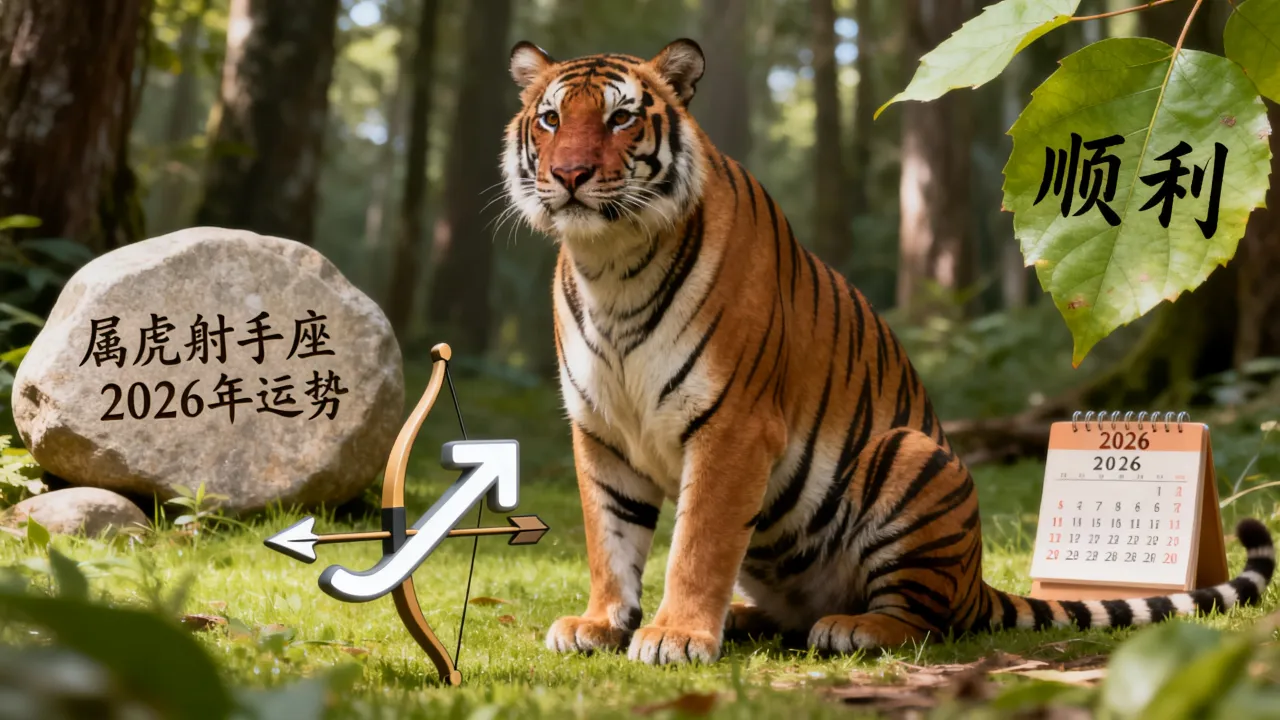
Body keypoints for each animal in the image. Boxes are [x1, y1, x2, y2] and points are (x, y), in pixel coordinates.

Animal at [498, 37, 1277, 665]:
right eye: (551, 119)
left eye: (621, 118)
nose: (569, 174)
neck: (611, 263)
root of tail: (976, 581)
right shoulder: (602, 431)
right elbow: (610, 537)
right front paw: (601, 624)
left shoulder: (731, 425)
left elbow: (698, 544)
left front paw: (675, 636)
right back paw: (748, 618)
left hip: (912, 459)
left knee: (923, 616)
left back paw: (855, 628)